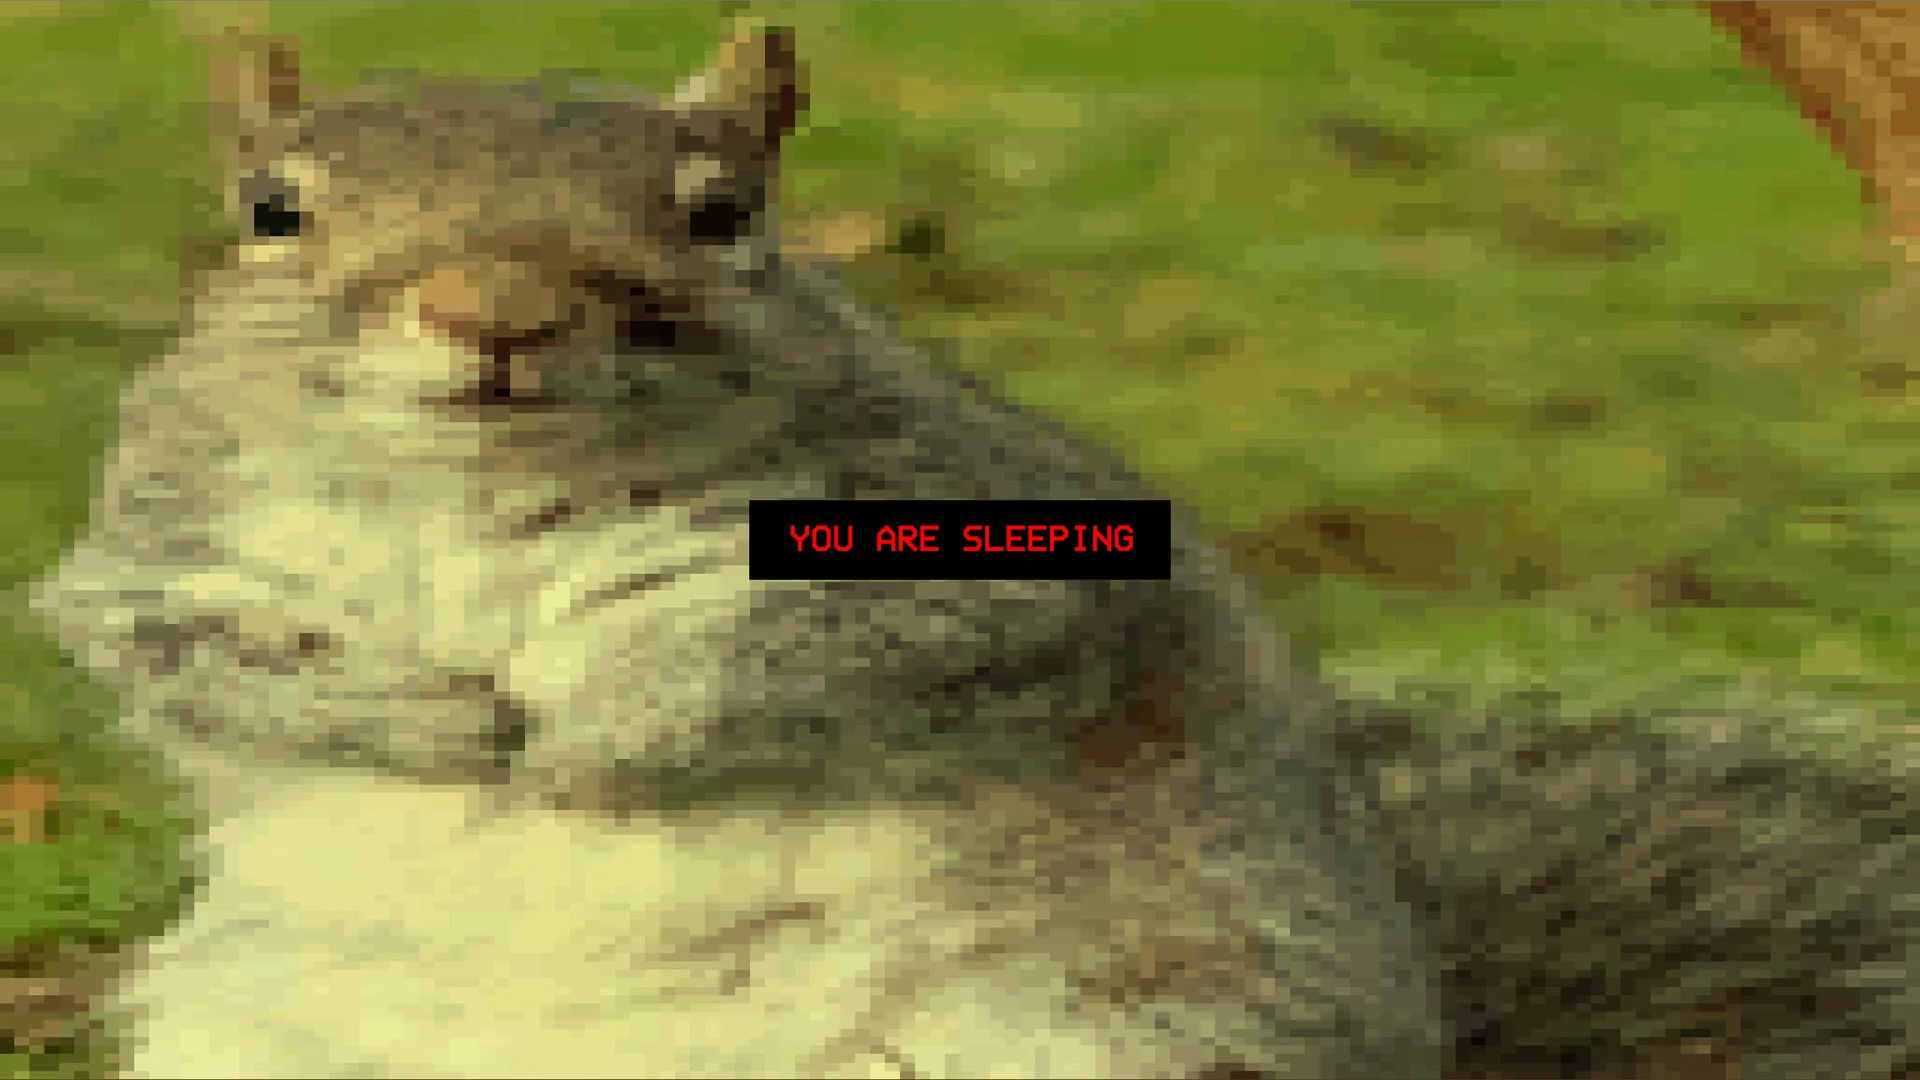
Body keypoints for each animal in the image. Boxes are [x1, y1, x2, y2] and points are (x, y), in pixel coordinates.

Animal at [30, 20, 1919, 1080]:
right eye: (271, 211)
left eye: (725, 215)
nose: (496, 314)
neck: (495, 495)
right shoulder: (158, 544)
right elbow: (163, 647)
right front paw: (421, 724)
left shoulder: (970, 552)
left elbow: (826, 656)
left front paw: (587, 744)